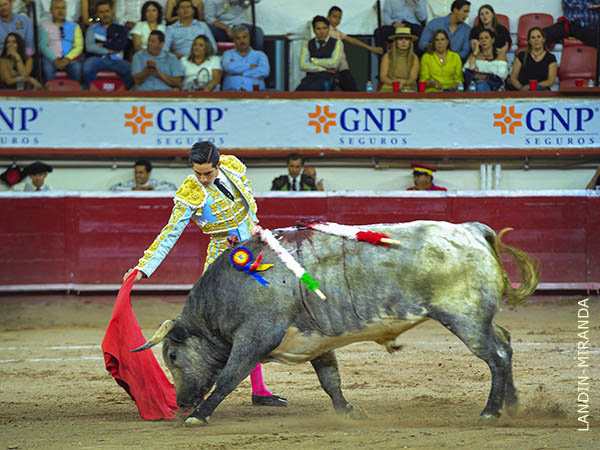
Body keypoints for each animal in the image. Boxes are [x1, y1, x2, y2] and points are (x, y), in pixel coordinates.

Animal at [132, 221, 539, 426]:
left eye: (172, 356)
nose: (181, 402)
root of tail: (470, 230)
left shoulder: (253, 339)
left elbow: (229, 377)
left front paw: (199, 416)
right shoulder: (316, 342)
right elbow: (330, 380)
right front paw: (347, 411)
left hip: (464, 316)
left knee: (496, 355)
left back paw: (490, 411)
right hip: (477, 318)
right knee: (505, 342)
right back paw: (512, 403)